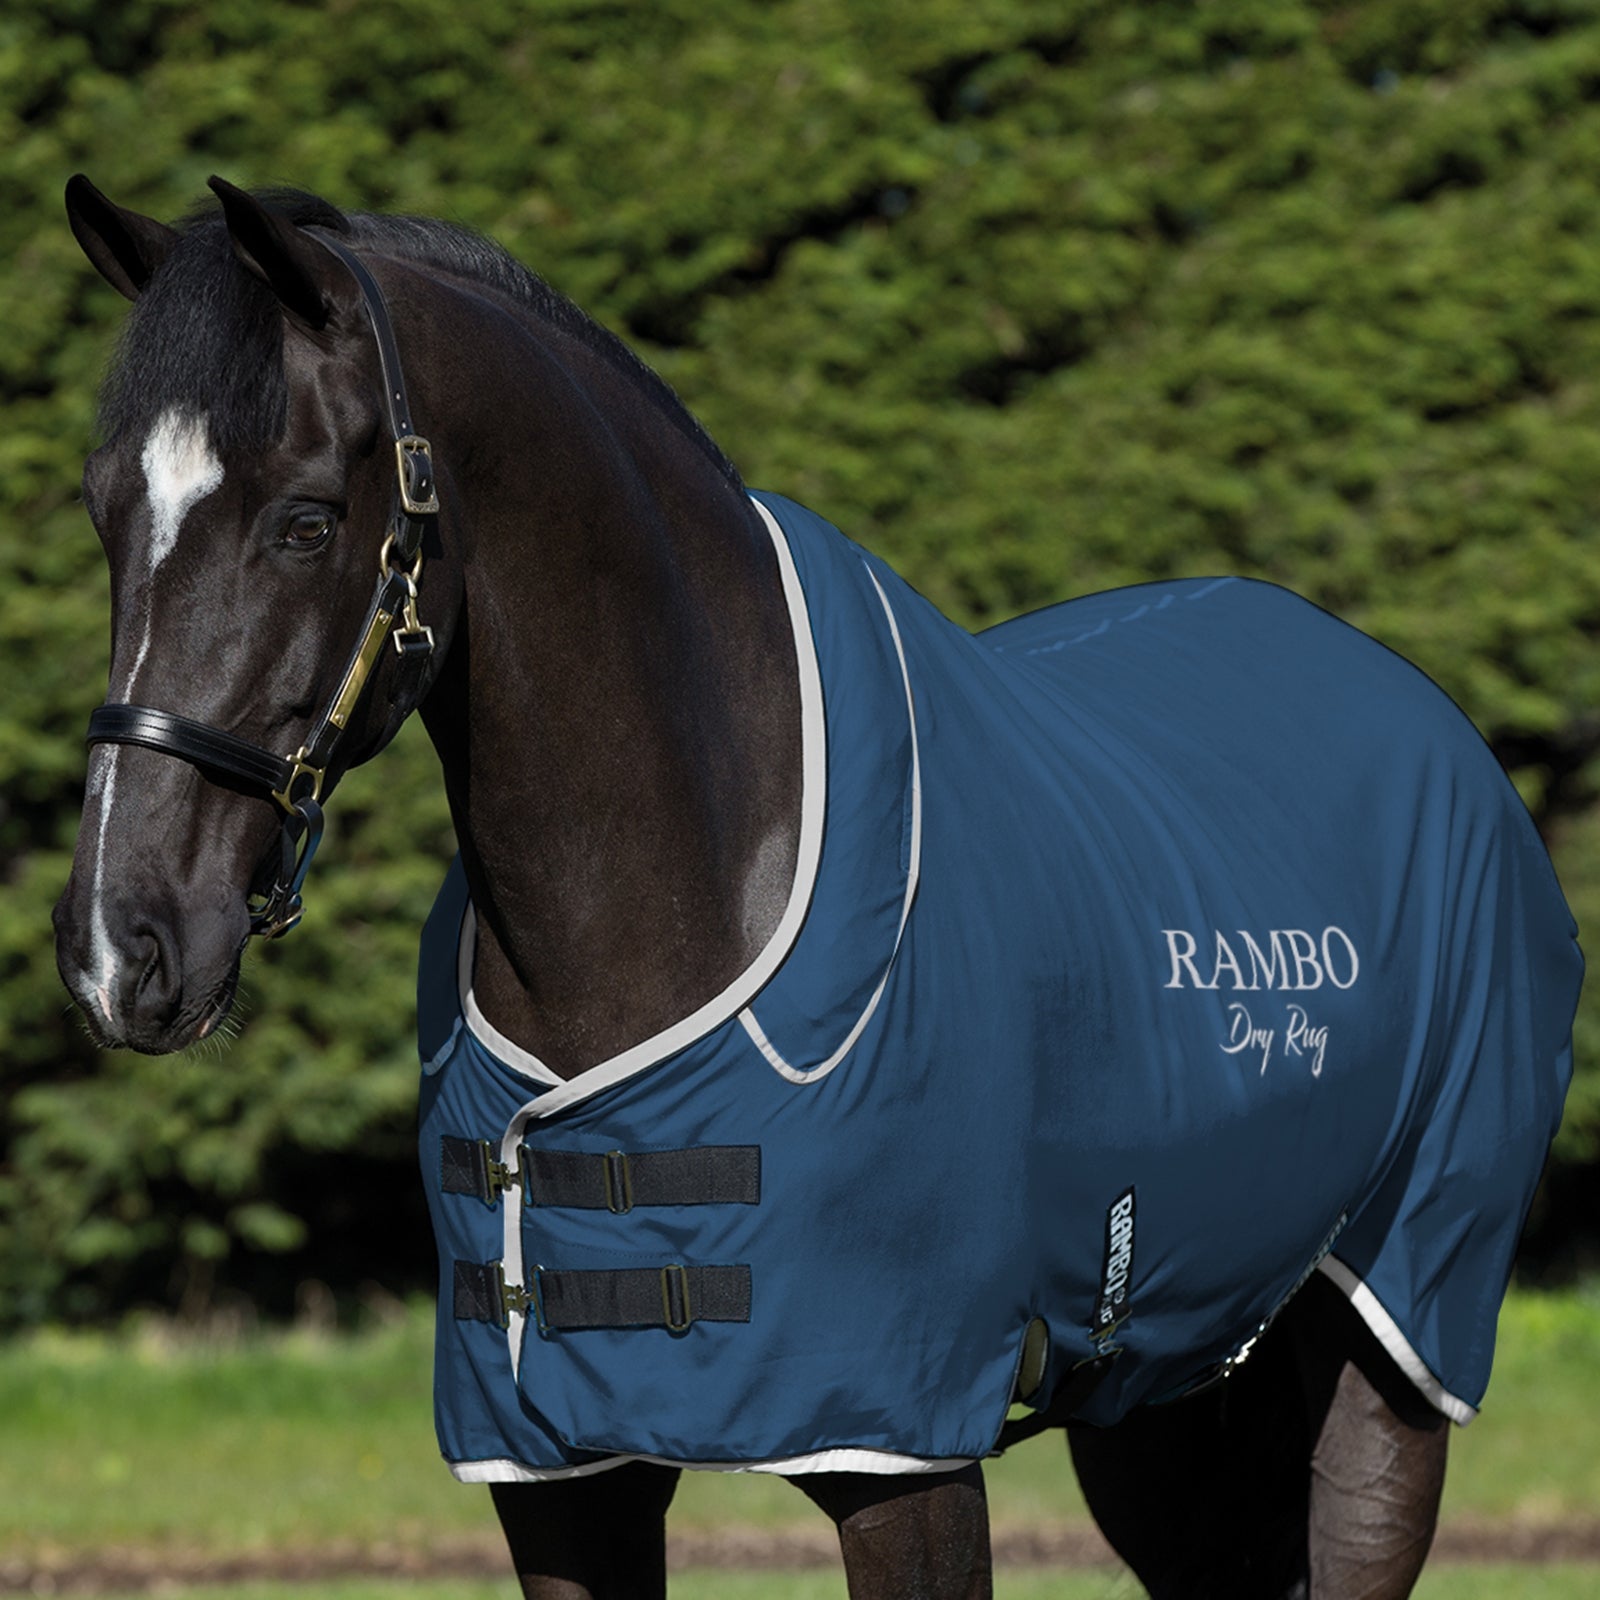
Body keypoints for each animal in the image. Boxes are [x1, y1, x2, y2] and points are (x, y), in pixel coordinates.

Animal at [54, 177, 1581, 1600]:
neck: (687, 876)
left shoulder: (899, 1452)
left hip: (1394, 1337)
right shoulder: (557, 1477)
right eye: (105, 510)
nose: (119, 948)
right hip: (1173, 1395)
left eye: (307, 522)